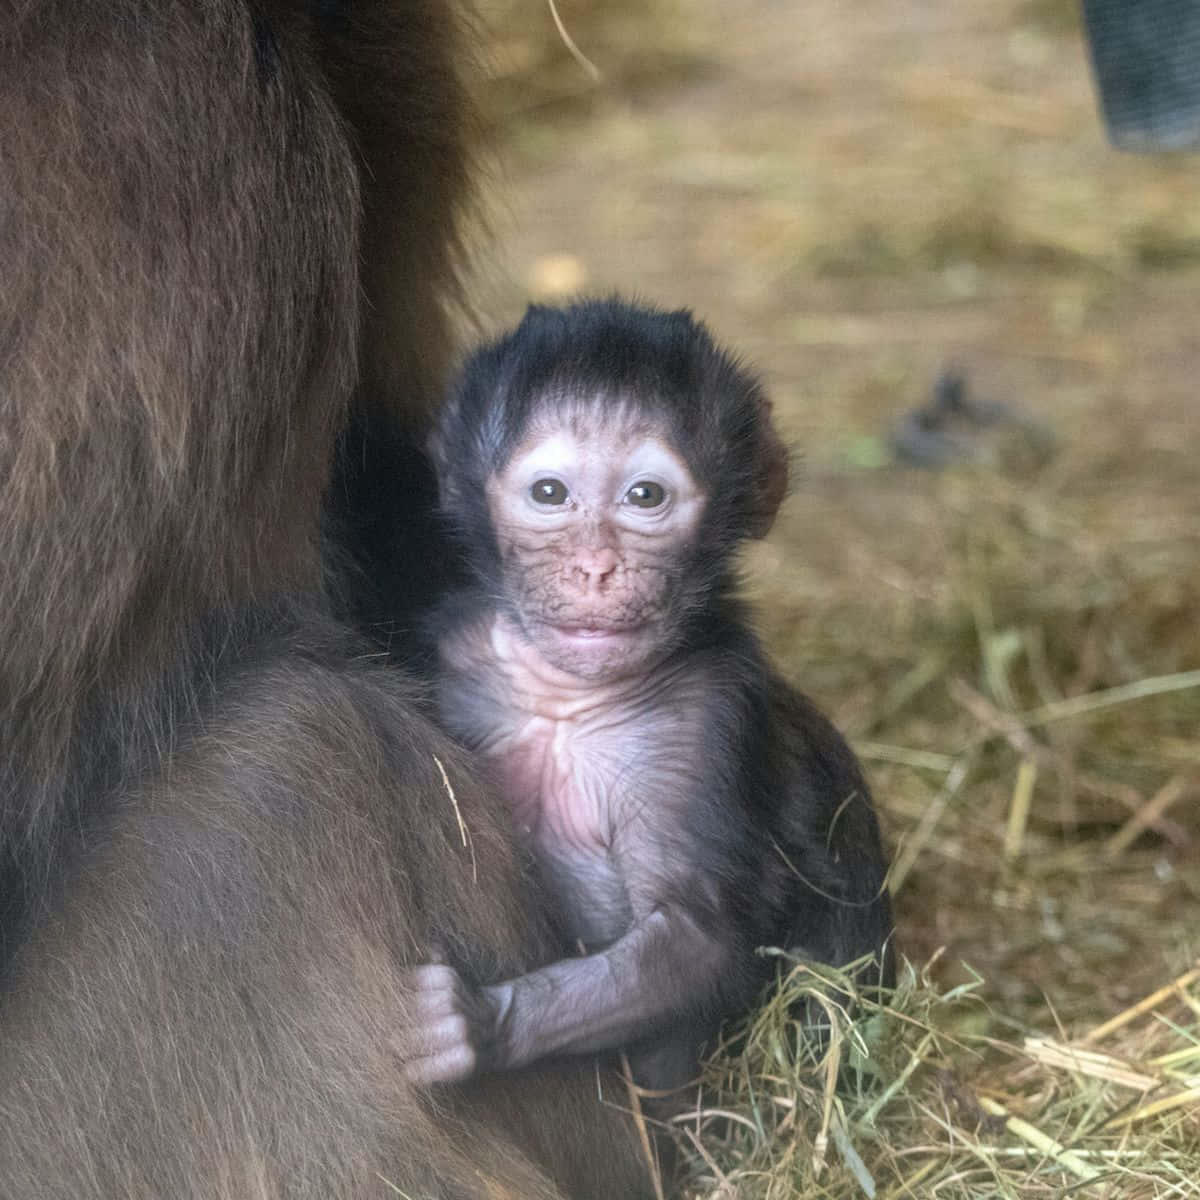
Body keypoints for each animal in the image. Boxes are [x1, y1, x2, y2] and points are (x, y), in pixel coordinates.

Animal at [403, 299, 894, 1095]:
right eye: (550, 494)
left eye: (645, 497)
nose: (596, 567)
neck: (567, 701)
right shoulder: (460, 663)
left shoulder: (702, 717)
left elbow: (697, 941)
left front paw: (477, 1025)